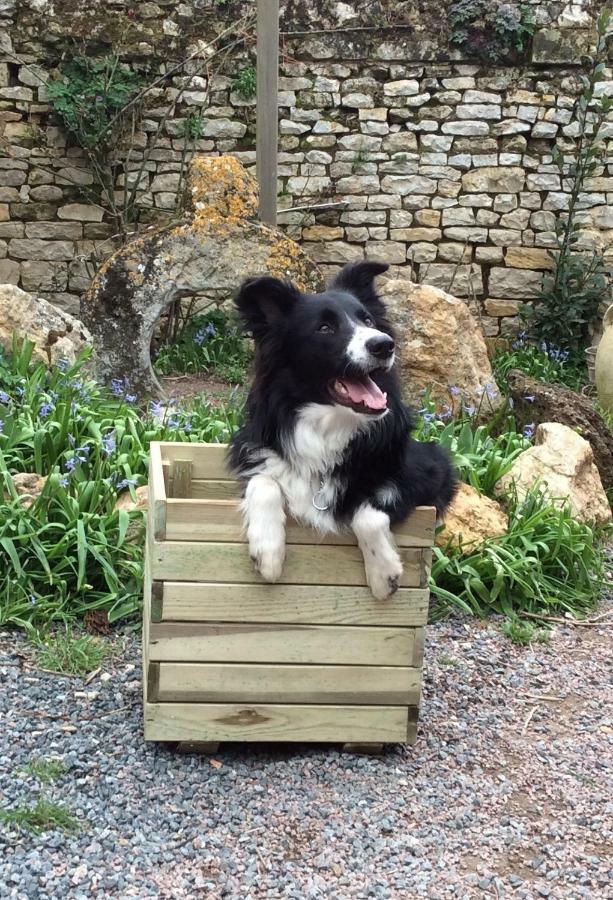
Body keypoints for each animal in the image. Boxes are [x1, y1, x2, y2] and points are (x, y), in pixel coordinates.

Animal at [227, 260, 456, 596]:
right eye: (324, 328)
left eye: (368, 319)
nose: (384, 345)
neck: (329, 425)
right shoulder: (255, 452)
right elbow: (263, 480)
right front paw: (267, 552)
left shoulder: (426, 473)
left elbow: (368, 511)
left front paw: (383, 574)